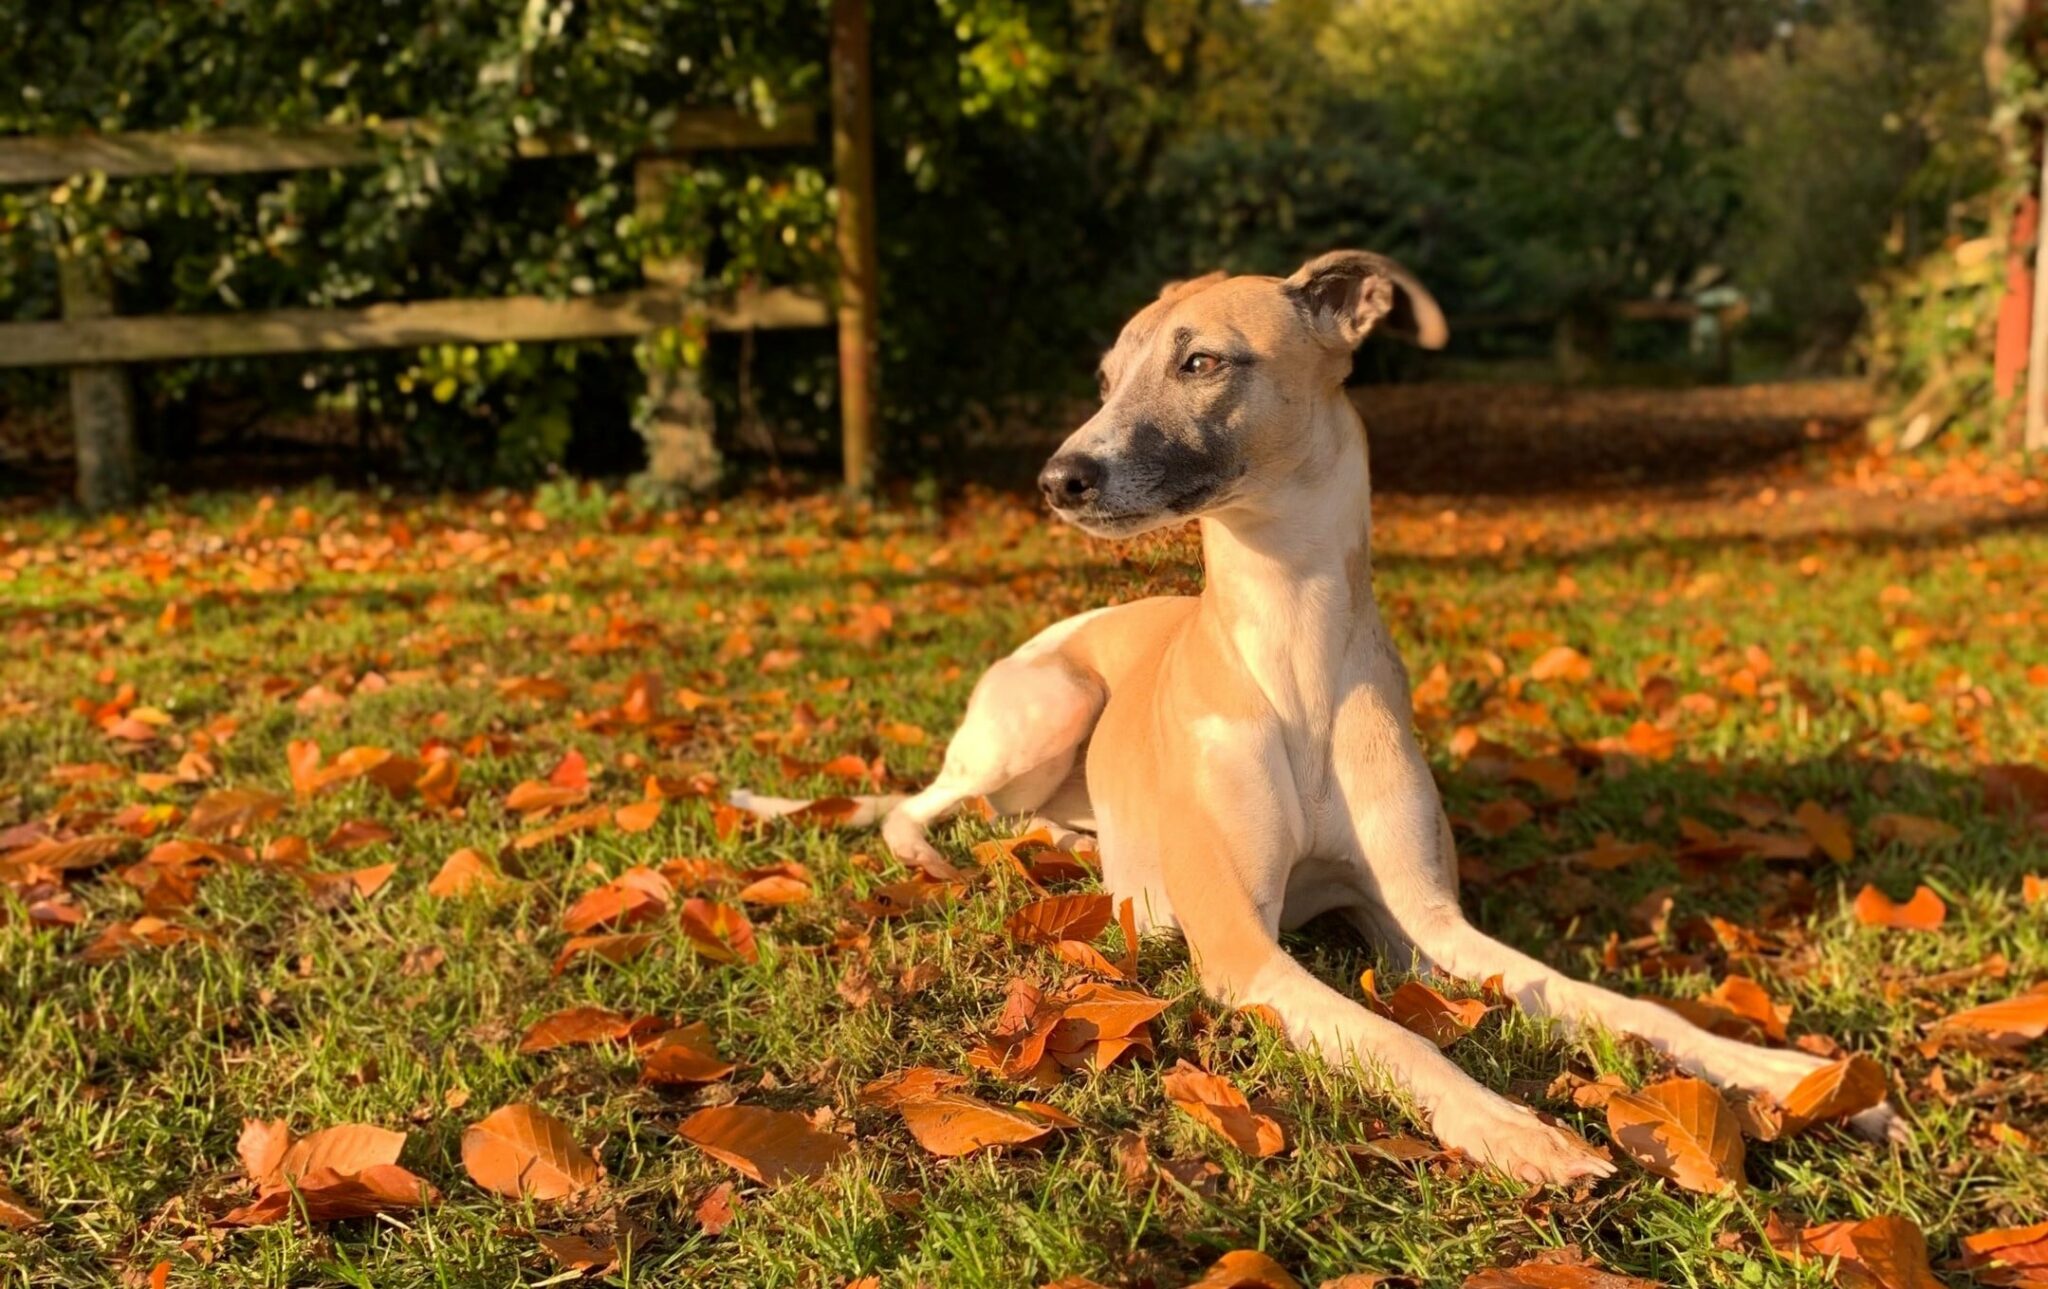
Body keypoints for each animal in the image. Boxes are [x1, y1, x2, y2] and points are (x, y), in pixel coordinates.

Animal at [745, 254, 1892, 1188]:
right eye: (1106, 379)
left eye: (1202, 361)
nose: (1058, 479)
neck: (1289, 648)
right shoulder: (1241, 948)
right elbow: (1397, 1038)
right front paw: (1510, 1126)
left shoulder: (1427, 927)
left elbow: (1622, 1004)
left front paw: (1791, 1071)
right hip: (1046, 703)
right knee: (920, 805)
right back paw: (946, 855)